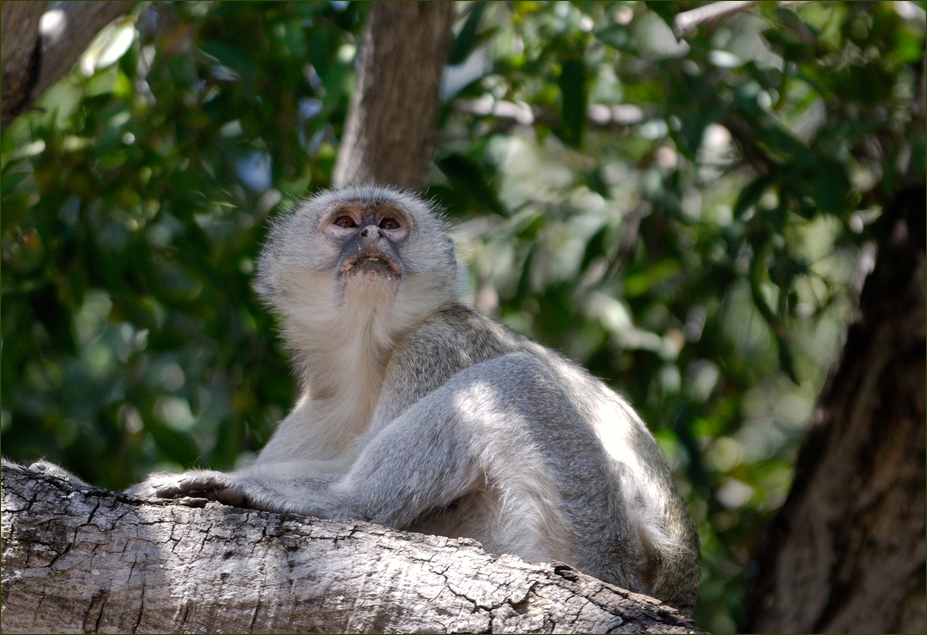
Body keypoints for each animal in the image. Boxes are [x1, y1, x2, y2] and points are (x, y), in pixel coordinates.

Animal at [123, 188, 700, 612]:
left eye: (391, 223)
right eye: (346, 221)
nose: (372, 233)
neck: (366, 359)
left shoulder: (436, 344)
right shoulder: (316, 406)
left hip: (599, 540)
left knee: (510, 381)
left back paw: (339, 503)